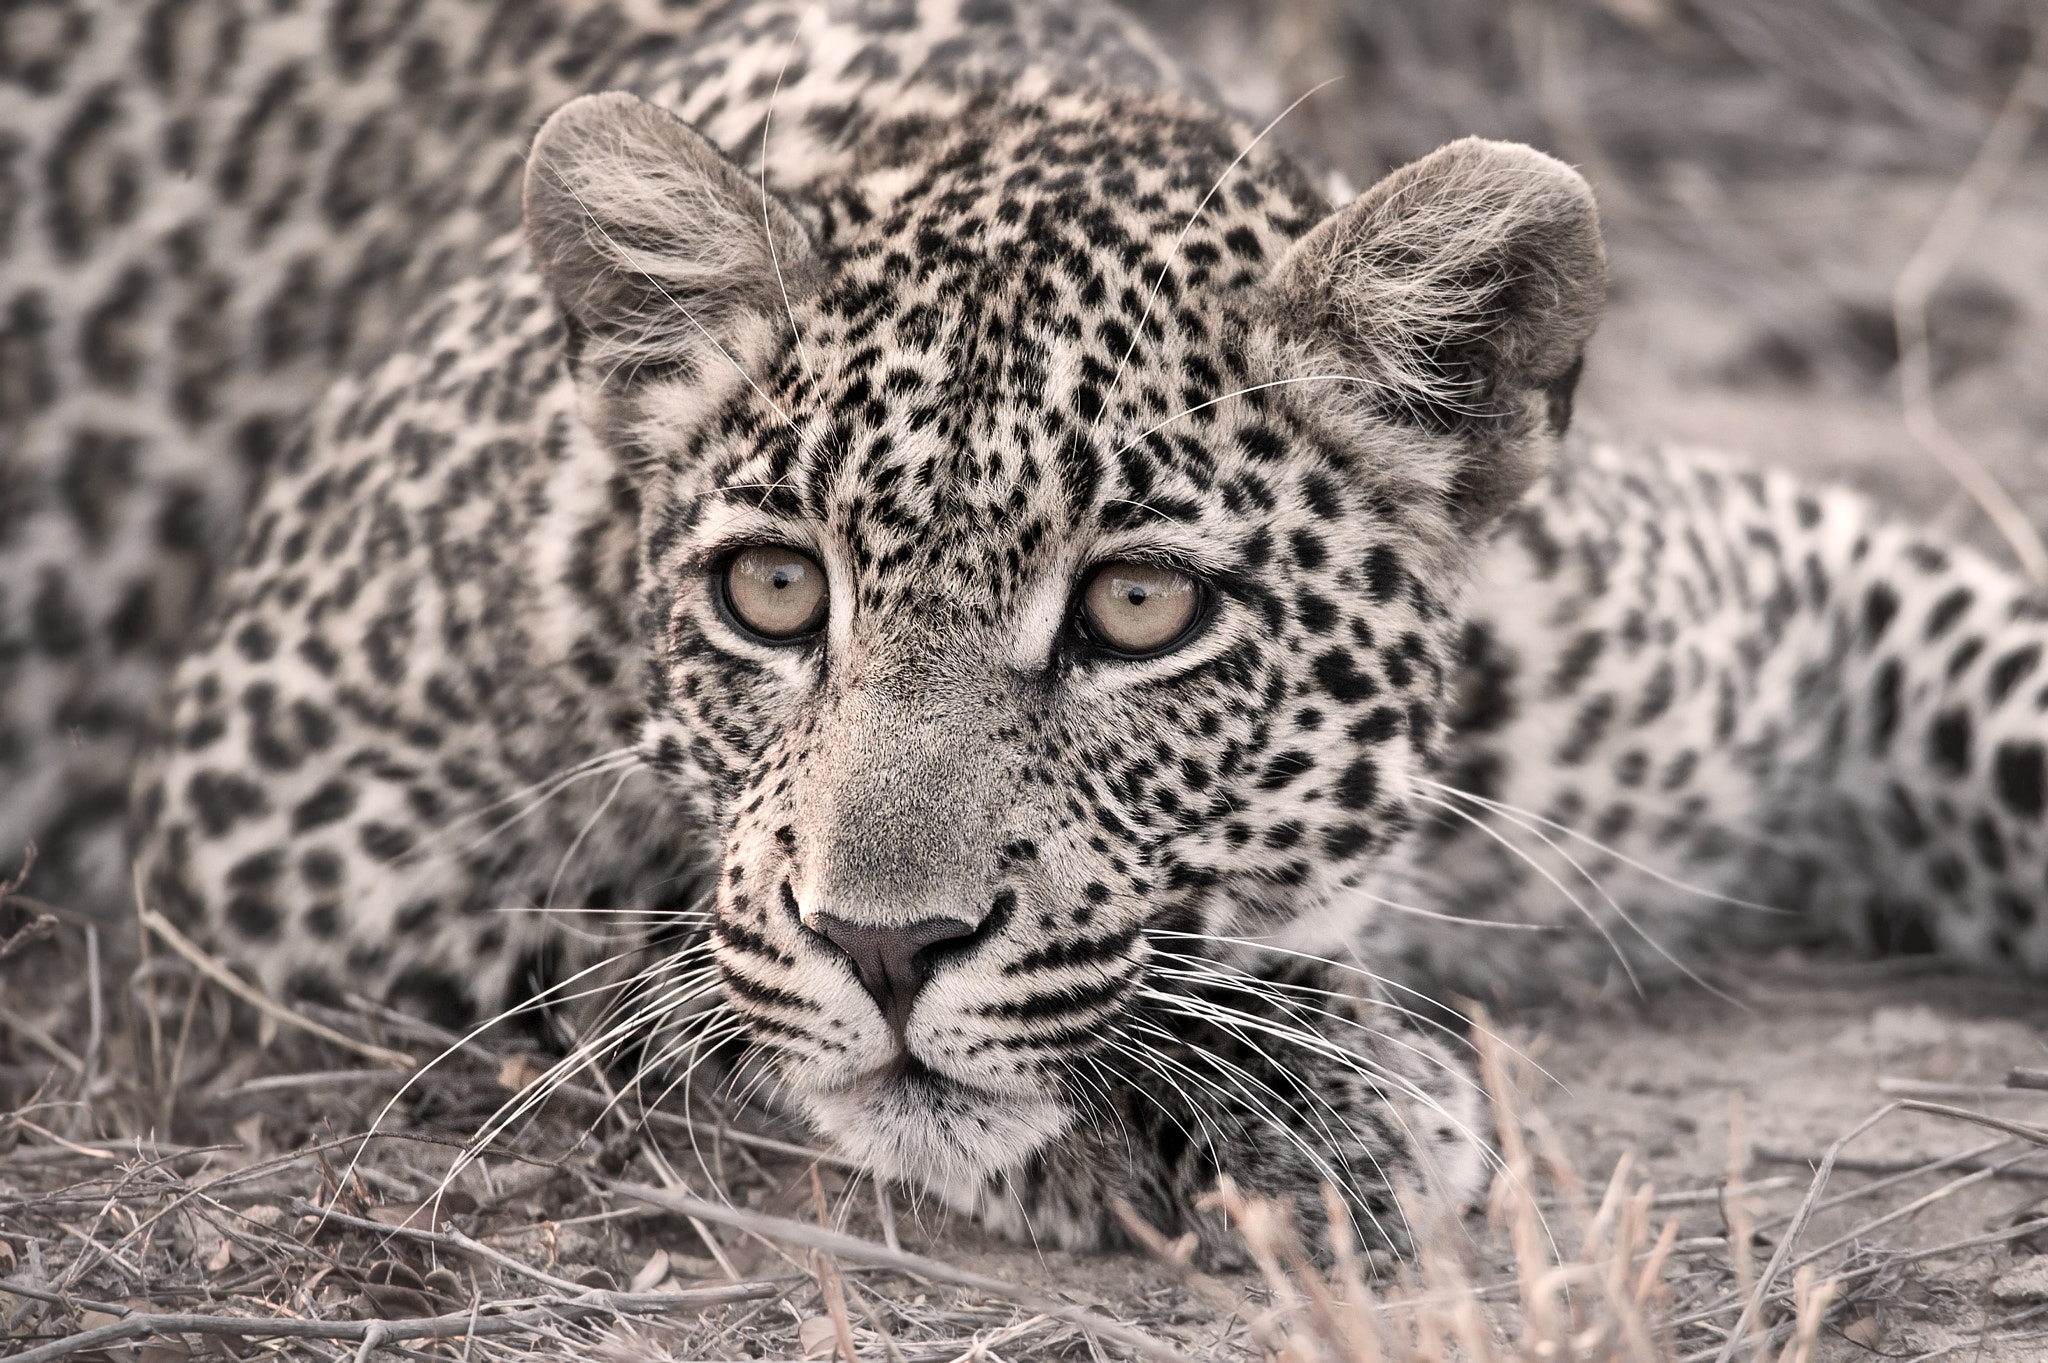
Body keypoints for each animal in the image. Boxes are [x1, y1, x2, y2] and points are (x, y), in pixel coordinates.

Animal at [4, 0, 2046, 1260]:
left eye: (1141, 606)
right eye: (773, 589)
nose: (886, 947)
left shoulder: (1783, 587)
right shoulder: (282, 786)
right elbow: (657, 936)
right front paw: (1292, 1092)